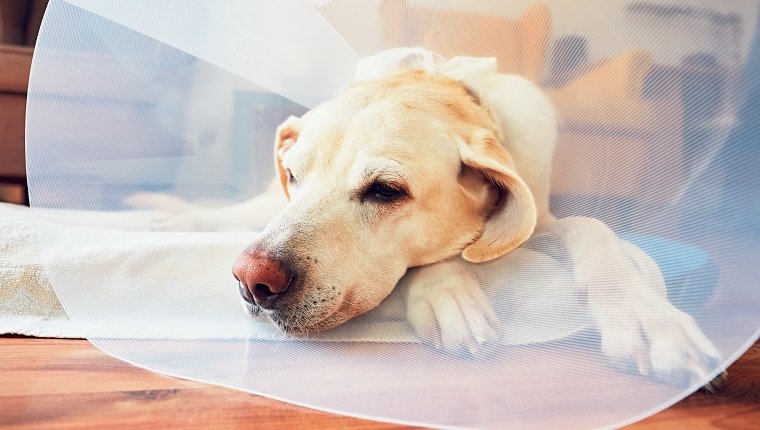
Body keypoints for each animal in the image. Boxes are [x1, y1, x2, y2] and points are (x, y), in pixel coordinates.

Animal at [132, 55, 724, 384]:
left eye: (386, 191)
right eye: (295, 175)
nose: (253, 280)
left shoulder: (542, 219)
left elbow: (593, 228)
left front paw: (647, 316)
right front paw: (448, 294)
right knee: (228, 216)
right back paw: (164, 220)